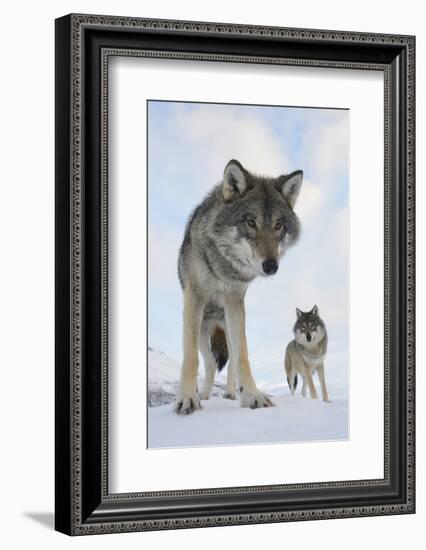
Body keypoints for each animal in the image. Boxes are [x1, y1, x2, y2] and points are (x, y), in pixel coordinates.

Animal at [174, 160, 302, 414]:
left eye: (278, 225)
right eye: (251, 222)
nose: (271, 266)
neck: (223, 265)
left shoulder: (234, 302)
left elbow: (243, 356)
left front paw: (253, 395)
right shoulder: (195, 298)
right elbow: (190, 357)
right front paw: (187, 398)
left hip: (228, 327)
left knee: (231, 360)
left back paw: (232, 393)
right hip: (203, 330)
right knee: (210, 363)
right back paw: (204, 394)